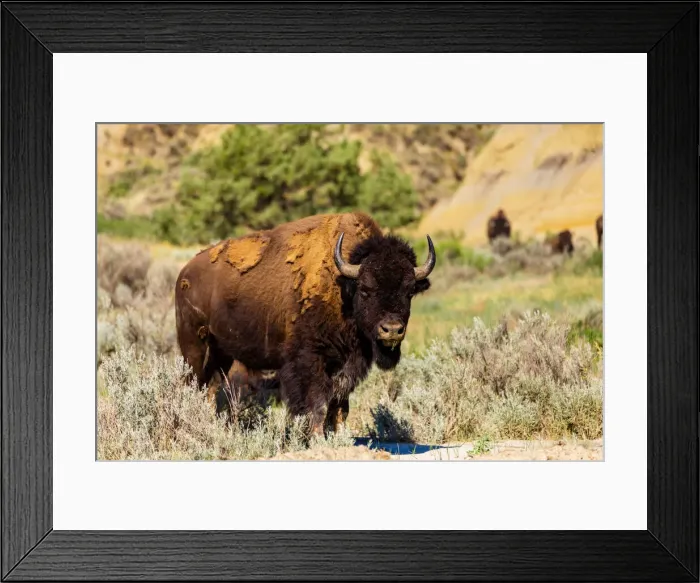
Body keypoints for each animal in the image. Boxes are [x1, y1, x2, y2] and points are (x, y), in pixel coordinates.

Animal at [175, 212, 435, 436]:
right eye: (365, 289)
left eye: (409, 291)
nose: (392, 330)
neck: (343, 286)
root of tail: (185, 273)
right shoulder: (309, 361)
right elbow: (317, 404)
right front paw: (317, 437)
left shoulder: (348, 365)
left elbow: (340, 406)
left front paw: (338, 436)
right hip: (194, 348)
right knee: (192, 384)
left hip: (222, 354)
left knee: (211, 388)